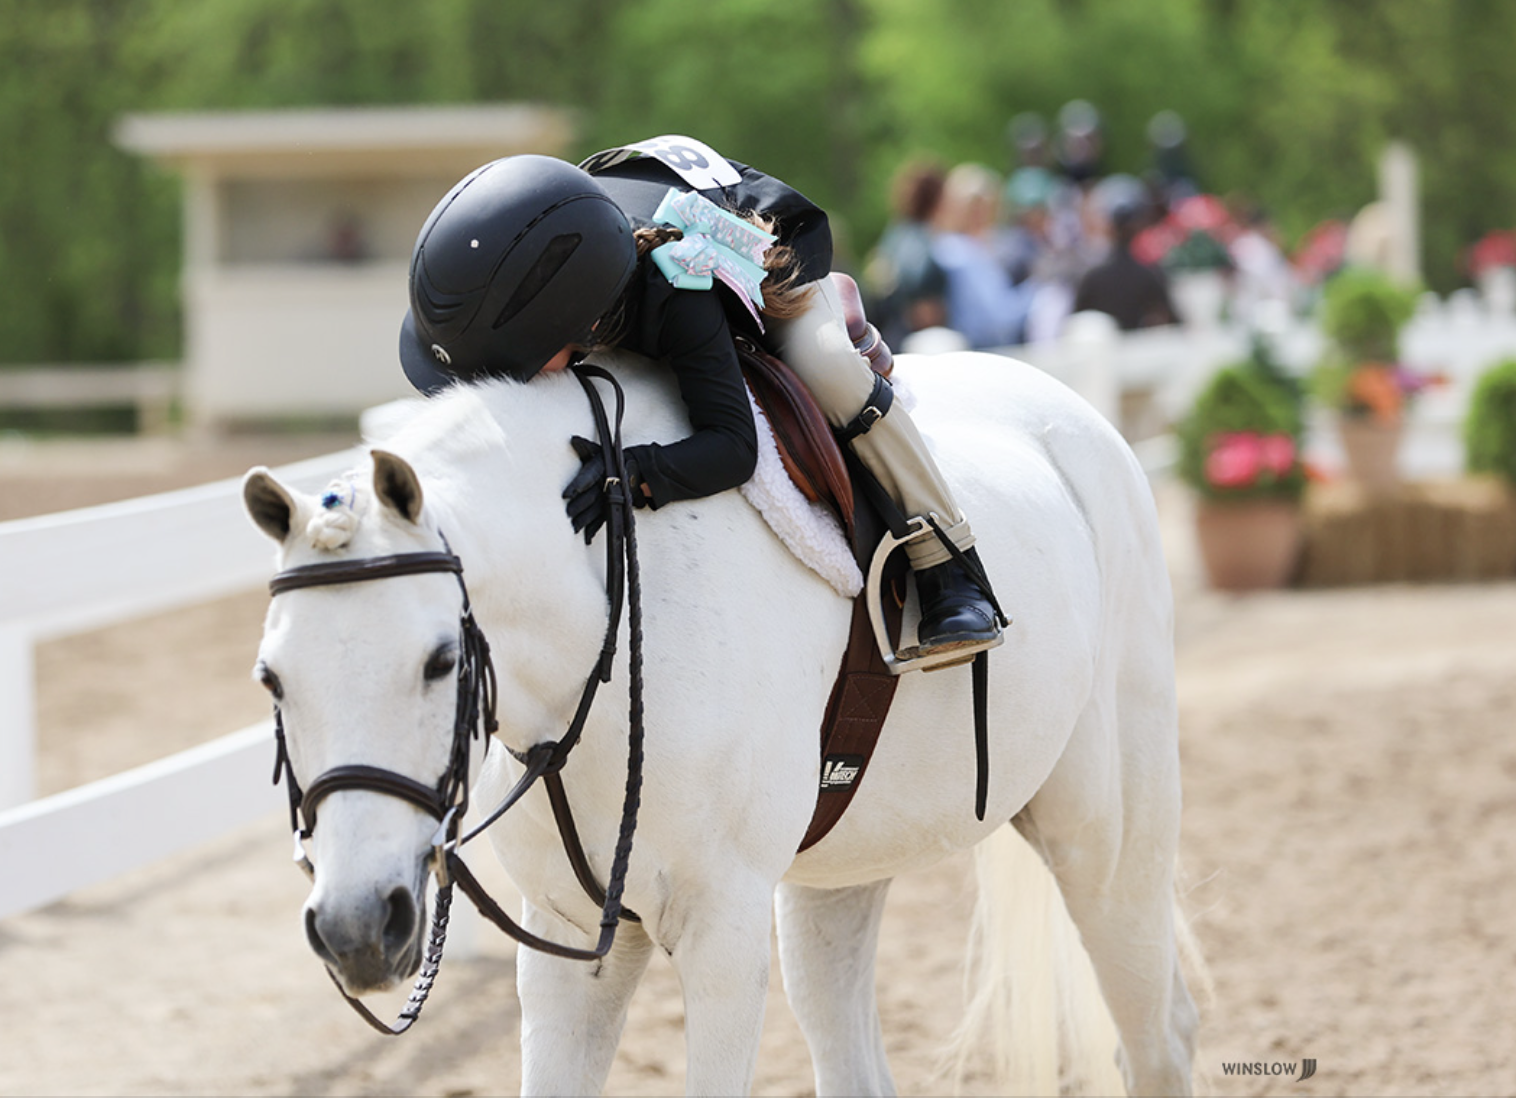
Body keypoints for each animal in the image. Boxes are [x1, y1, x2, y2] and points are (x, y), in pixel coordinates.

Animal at [242, 348, 1198, 1096]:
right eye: (272, 679)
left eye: (441, 660)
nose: (357, 928)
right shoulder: (565, 941)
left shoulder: (721, 938)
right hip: (839, 876)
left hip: (1106, 844)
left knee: (1157, 1038)